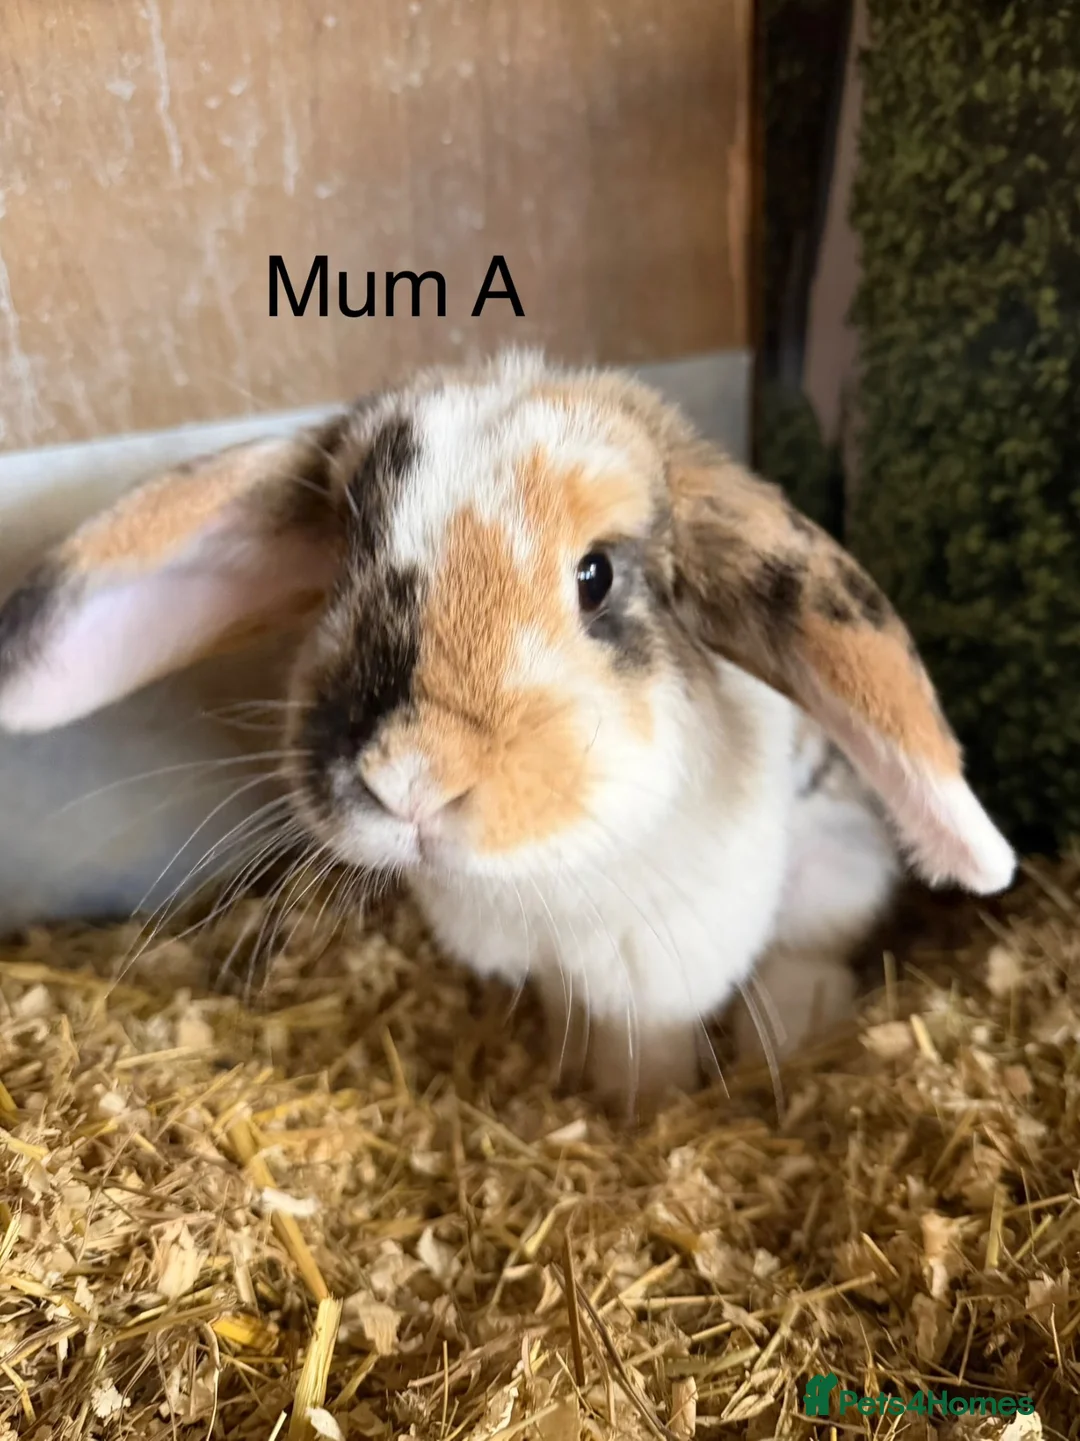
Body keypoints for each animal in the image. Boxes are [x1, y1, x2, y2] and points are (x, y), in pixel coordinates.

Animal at [0, 349, 1015, 1113]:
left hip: (840, 861)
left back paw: (796, 1021)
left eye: (597, 576)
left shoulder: (663, 965)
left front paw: (638, 1114)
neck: (539, 875)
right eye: (348, 563)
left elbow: (649, 1047)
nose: (411, 776)